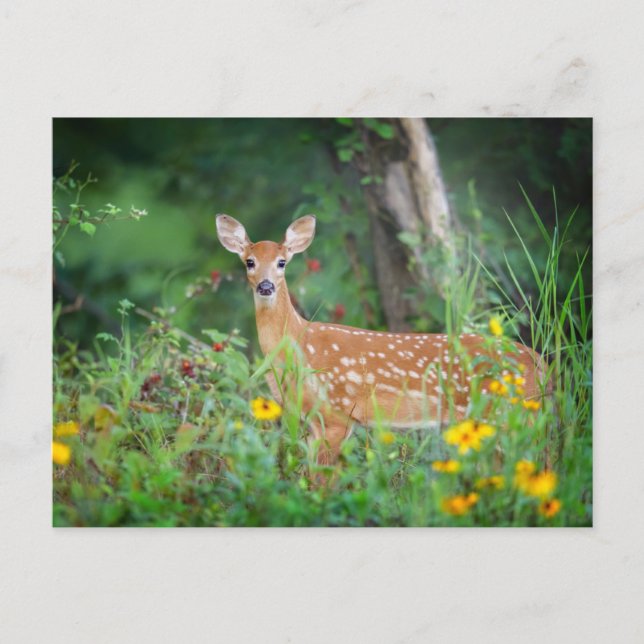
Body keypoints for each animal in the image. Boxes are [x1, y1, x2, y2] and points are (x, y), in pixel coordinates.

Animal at [216, 214, 547, 466]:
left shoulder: (337, 413)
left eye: (282, 262)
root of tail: (541, 363)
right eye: (249, 262)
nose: (266, 286)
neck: (298, 343)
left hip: (510, 411)